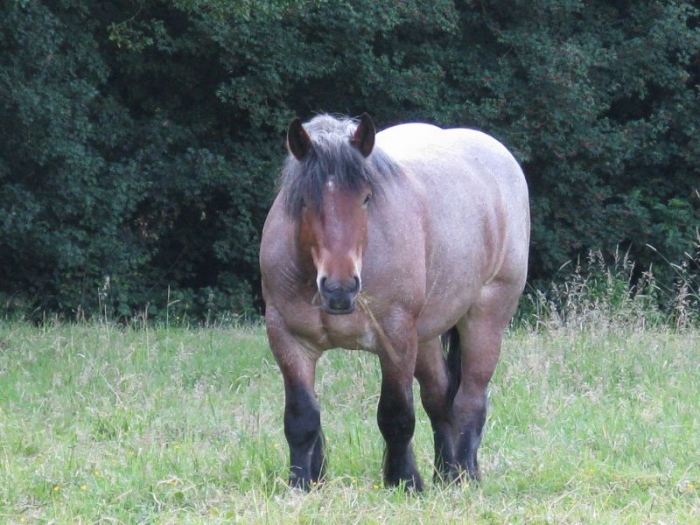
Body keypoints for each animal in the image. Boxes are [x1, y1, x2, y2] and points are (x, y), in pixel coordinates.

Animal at [260, 112, 528, 490]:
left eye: (366, 197)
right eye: (304, 200)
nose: (339, 288)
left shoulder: (396, 338)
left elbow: (396, 415)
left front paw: (405, 481)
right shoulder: (287, 338)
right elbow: (301, 418)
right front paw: (301, 482)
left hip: (485, 317)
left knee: (470, 400)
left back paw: (464, 476)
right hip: (427, 336)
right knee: (439, 399)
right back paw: (445, 474)